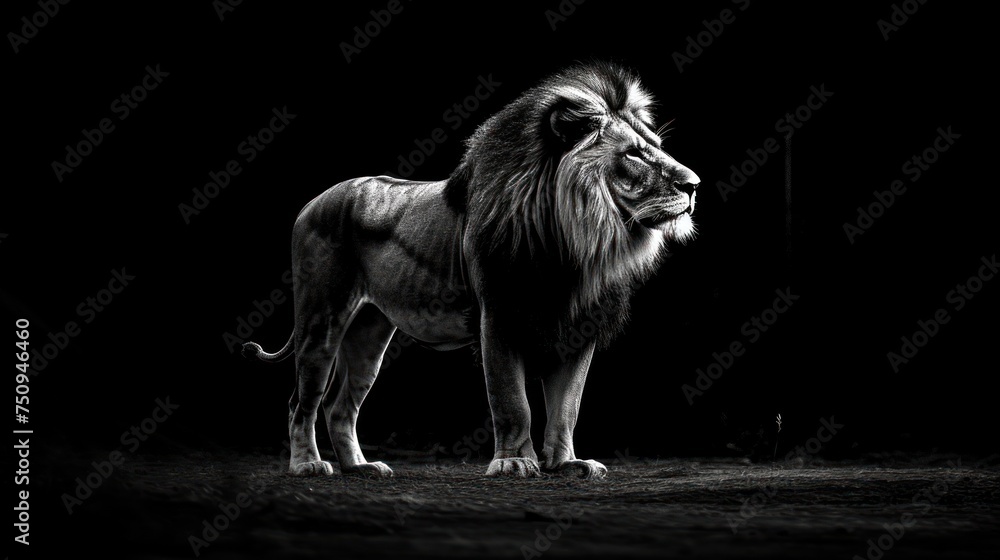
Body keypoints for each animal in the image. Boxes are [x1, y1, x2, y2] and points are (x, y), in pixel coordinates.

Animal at [243, 61, 699, 479]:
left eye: (657, 145)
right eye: (633, 154)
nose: (694, 185)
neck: (579, 242)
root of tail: (312, 202)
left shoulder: (578, 326)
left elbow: (567, 406)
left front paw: (567, 464)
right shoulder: (497, 316)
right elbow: (512, 400)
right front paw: (514, 462)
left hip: (368, 331)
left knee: (340, 405)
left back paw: (361, 467)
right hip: (322, 320)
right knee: (302, 401)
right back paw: (307, 465)